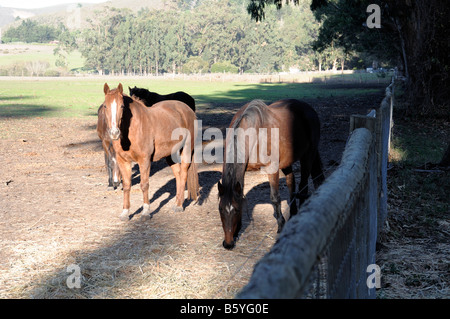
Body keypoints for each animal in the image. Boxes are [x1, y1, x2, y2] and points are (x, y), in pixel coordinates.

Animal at [103, 84, 201, 221]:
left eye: (122, 106)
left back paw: (179, 206)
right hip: (170, 154)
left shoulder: (144, 160)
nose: (114, 133)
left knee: (184, 173)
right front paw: (125, 213)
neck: (133, 128)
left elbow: (144, 185)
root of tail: (188, 109)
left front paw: (146, 212)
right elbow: (127, 185)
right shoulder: (123, 161)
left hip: (186, 149)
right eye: (105, 106)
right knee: (178, 174)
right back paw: (177, 201)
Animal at [217, 100, 324, 250]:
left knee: (303, 185)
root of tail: (308, 108)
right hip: (287, 163)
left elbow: (275, 198)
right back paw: (293, 213)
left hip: (307, 156)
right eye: (220, 209)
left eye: (236, 210)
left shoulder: (272, 168)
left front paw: (280, 225)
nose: (228, 244)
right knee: (291, 183)